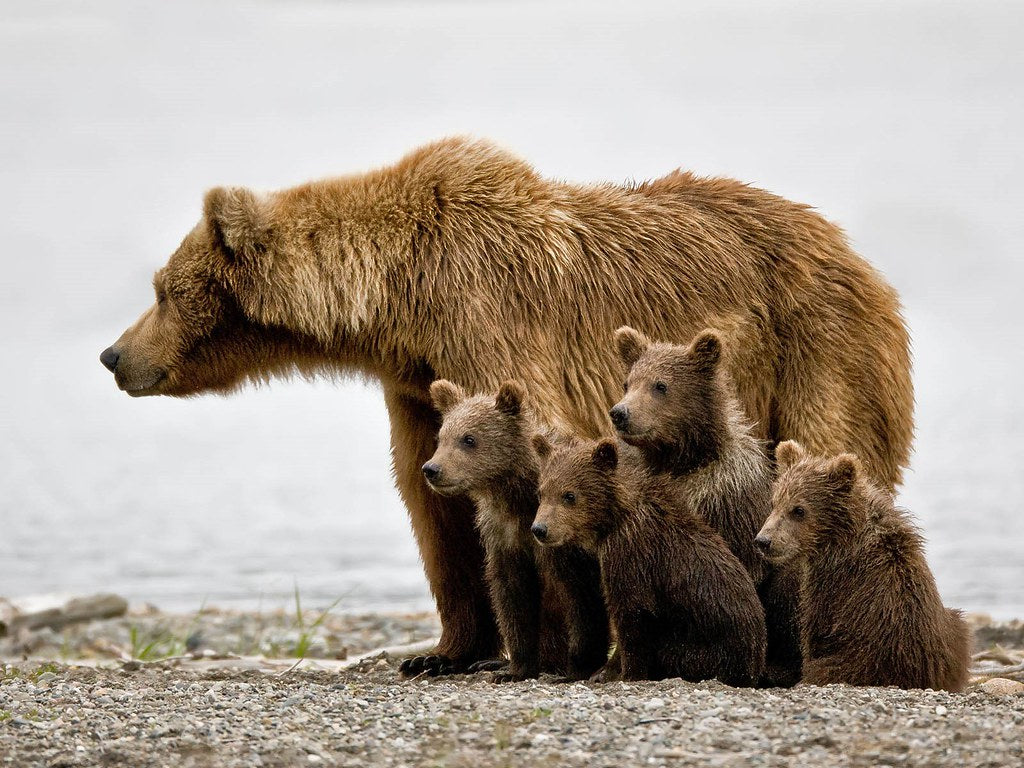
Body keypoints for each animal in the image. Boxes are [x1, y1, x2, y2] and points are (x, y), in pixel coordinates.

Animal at [97, 137, 913, 671]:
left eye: (162, 289)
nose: (113, 356)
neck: (405, 298)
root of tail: (859, 257)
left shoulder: (492, 322)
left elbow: (538, 482)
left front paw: (548, 647)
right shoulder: (416, 386)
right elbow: (434, 508)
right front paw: (443, 651)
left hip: (816, 353)